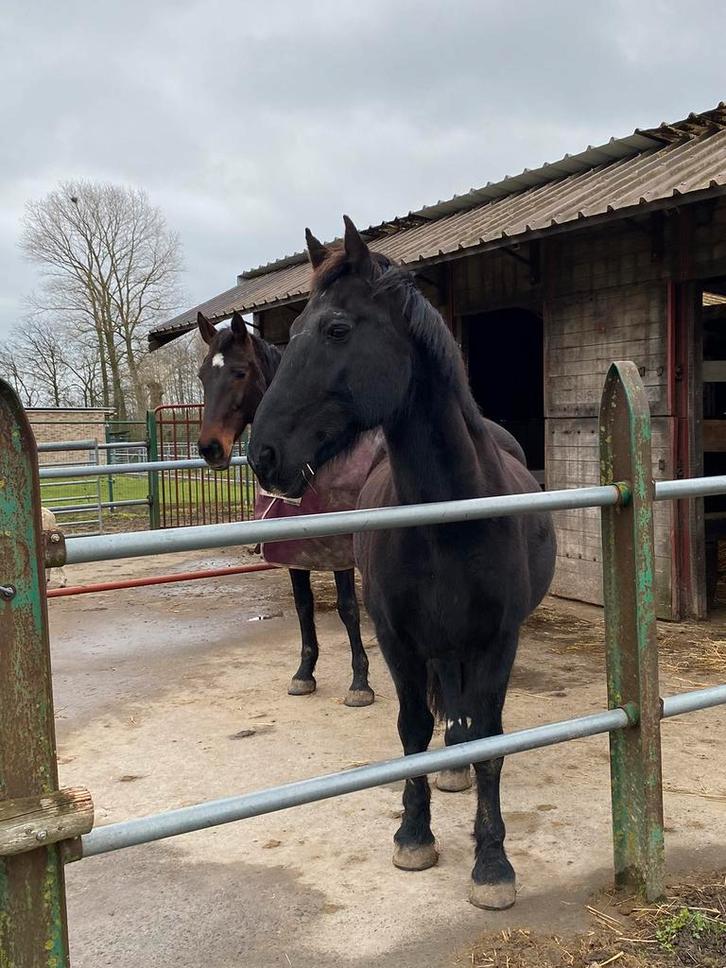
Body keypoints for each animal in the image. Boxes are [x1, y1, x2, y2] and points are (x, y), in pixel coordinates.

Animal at [196, 309, 377, 707]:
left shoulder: (337, 550)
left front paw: (360, 683)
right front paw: (304, 673)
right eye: (202, 375)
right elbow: (303, 606)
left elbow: (347, 608)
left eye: (239, 372)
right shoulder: (295, 550)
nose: (210, 448)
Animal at [247, 217, 556, 910]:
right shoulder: (396, 637)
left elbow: (490, 740)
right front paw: (415, 835)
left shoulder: (498, 638)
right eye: (293, 329)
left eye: (336, 329)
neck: (450, 516)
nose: (263, 454)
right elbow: (412, 730)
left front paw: (492, 864)